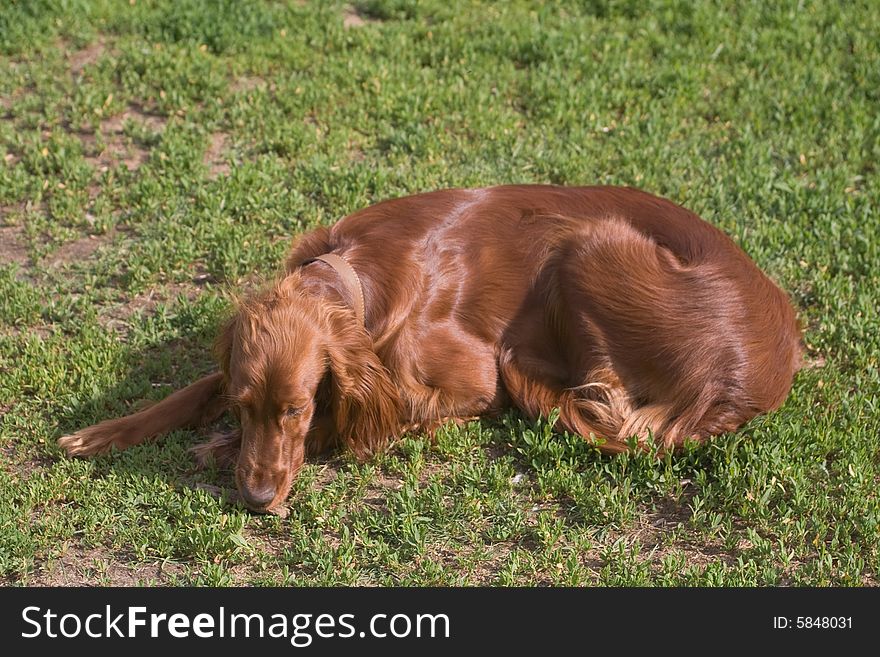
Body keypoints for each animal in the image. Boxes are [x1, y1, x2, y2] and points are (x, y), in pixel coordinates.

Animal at [58, 184, 800, 512]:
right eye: (245, 405)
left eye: (296, 409)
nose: (258, 497)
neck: (357, 275)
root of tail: (756, 372)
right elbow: (193, 387)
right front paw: (103, 432)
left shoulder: (475, 377)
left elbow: (372, 416)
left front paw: (222, 448)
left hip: (589, 243)